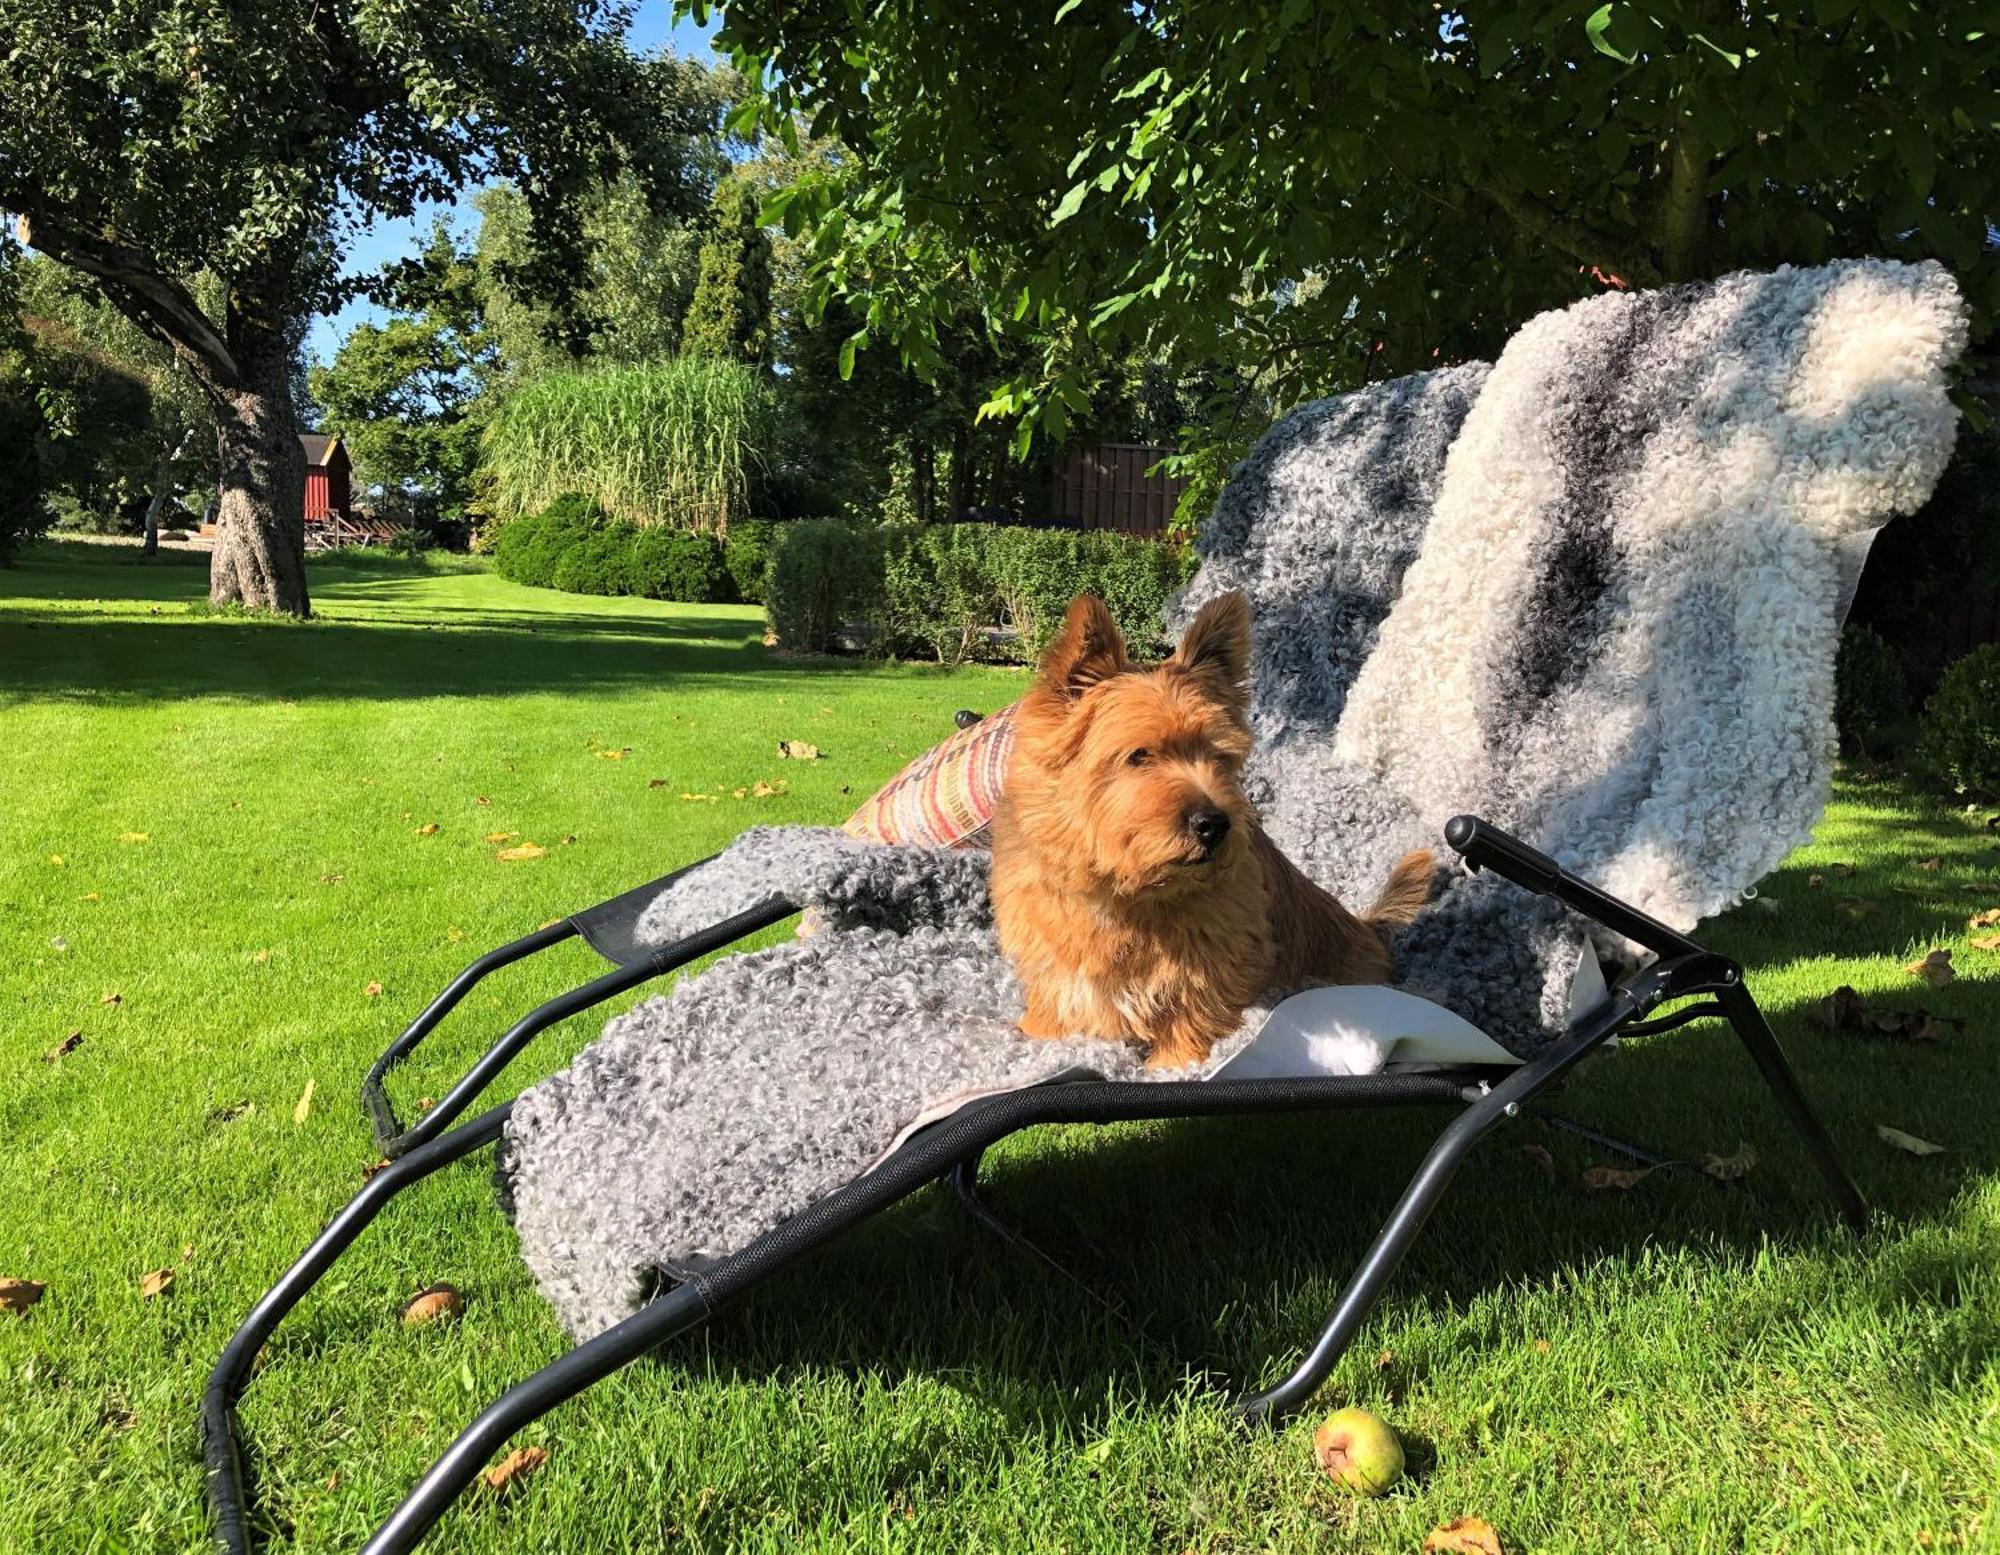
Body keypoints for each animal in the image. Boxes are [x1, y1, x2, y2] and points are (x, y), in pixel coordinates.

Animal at [988, 583, 1432, 1063]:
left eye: (1220, 757)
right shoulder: (1056, 966)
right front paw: (1037, 1035)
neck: (1127, 895)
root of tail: (1367, 927)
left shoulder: (1216, 968)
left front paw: (1171, 1065)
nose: (1214, 825)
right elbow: (1056, 1003)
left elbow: (1191, 1020)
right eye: (1139, 755)